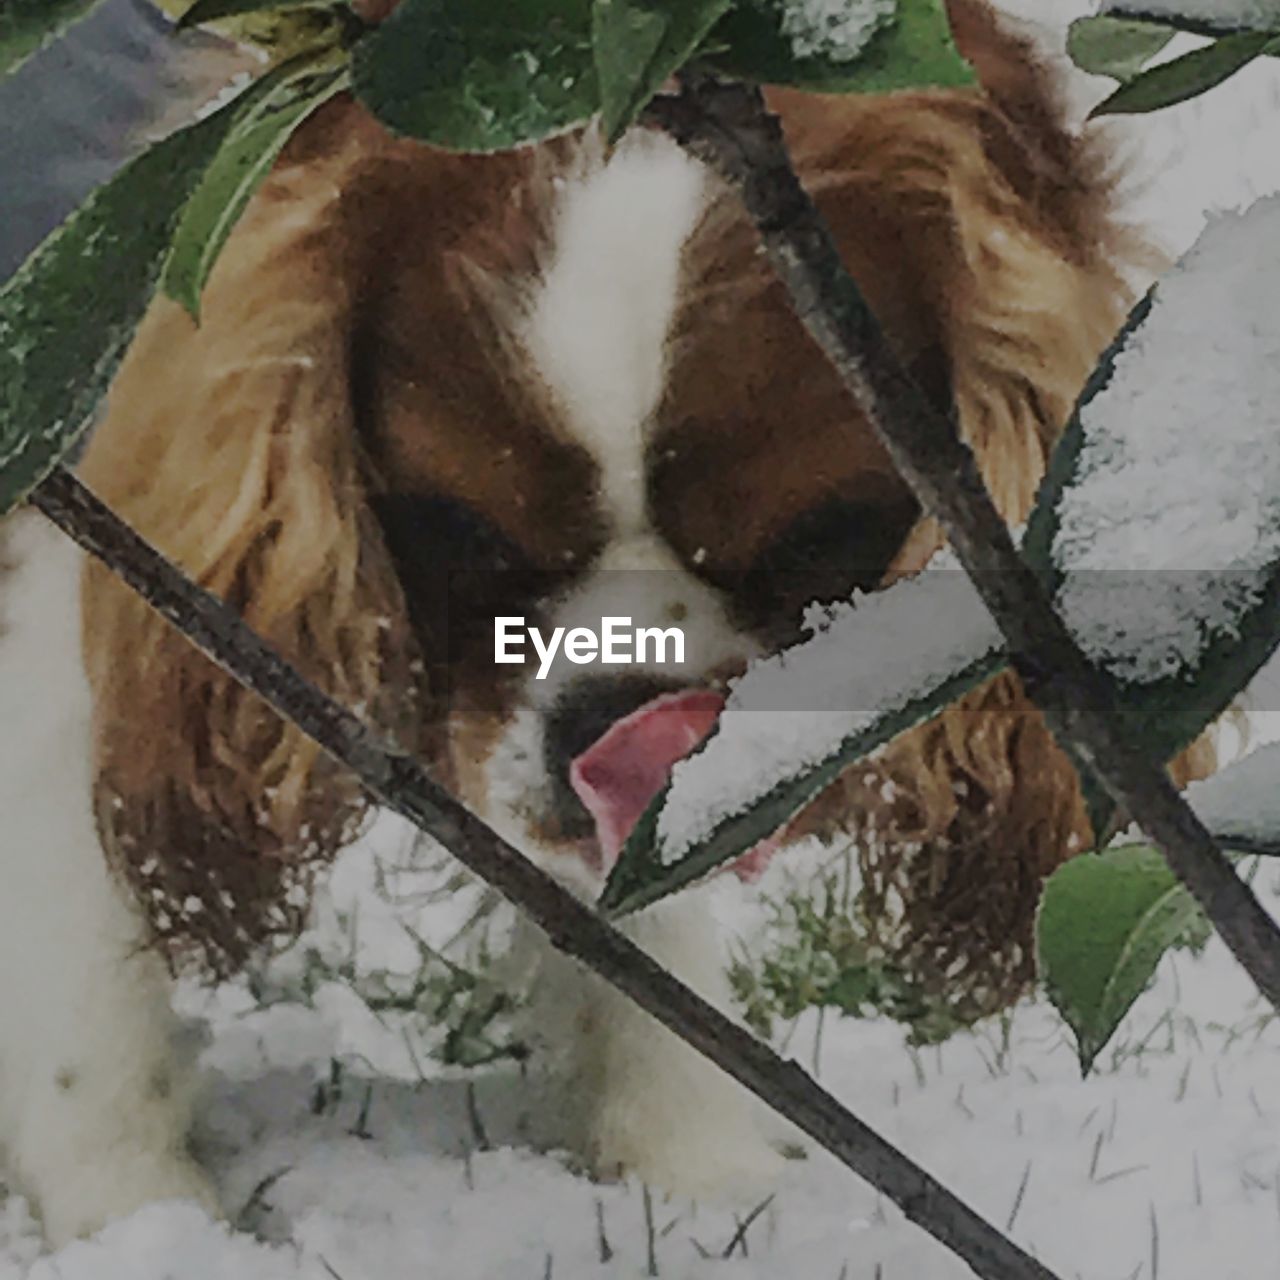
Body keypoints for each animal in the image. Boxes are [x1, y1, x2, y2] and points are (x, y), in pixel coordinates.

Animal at [0, 0, 1187, 1239]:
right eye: (456, 526)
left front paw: (691, 1172)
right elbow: (84, 949)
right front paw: (133, 1211)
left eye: (823, 534)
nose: (618, 715)